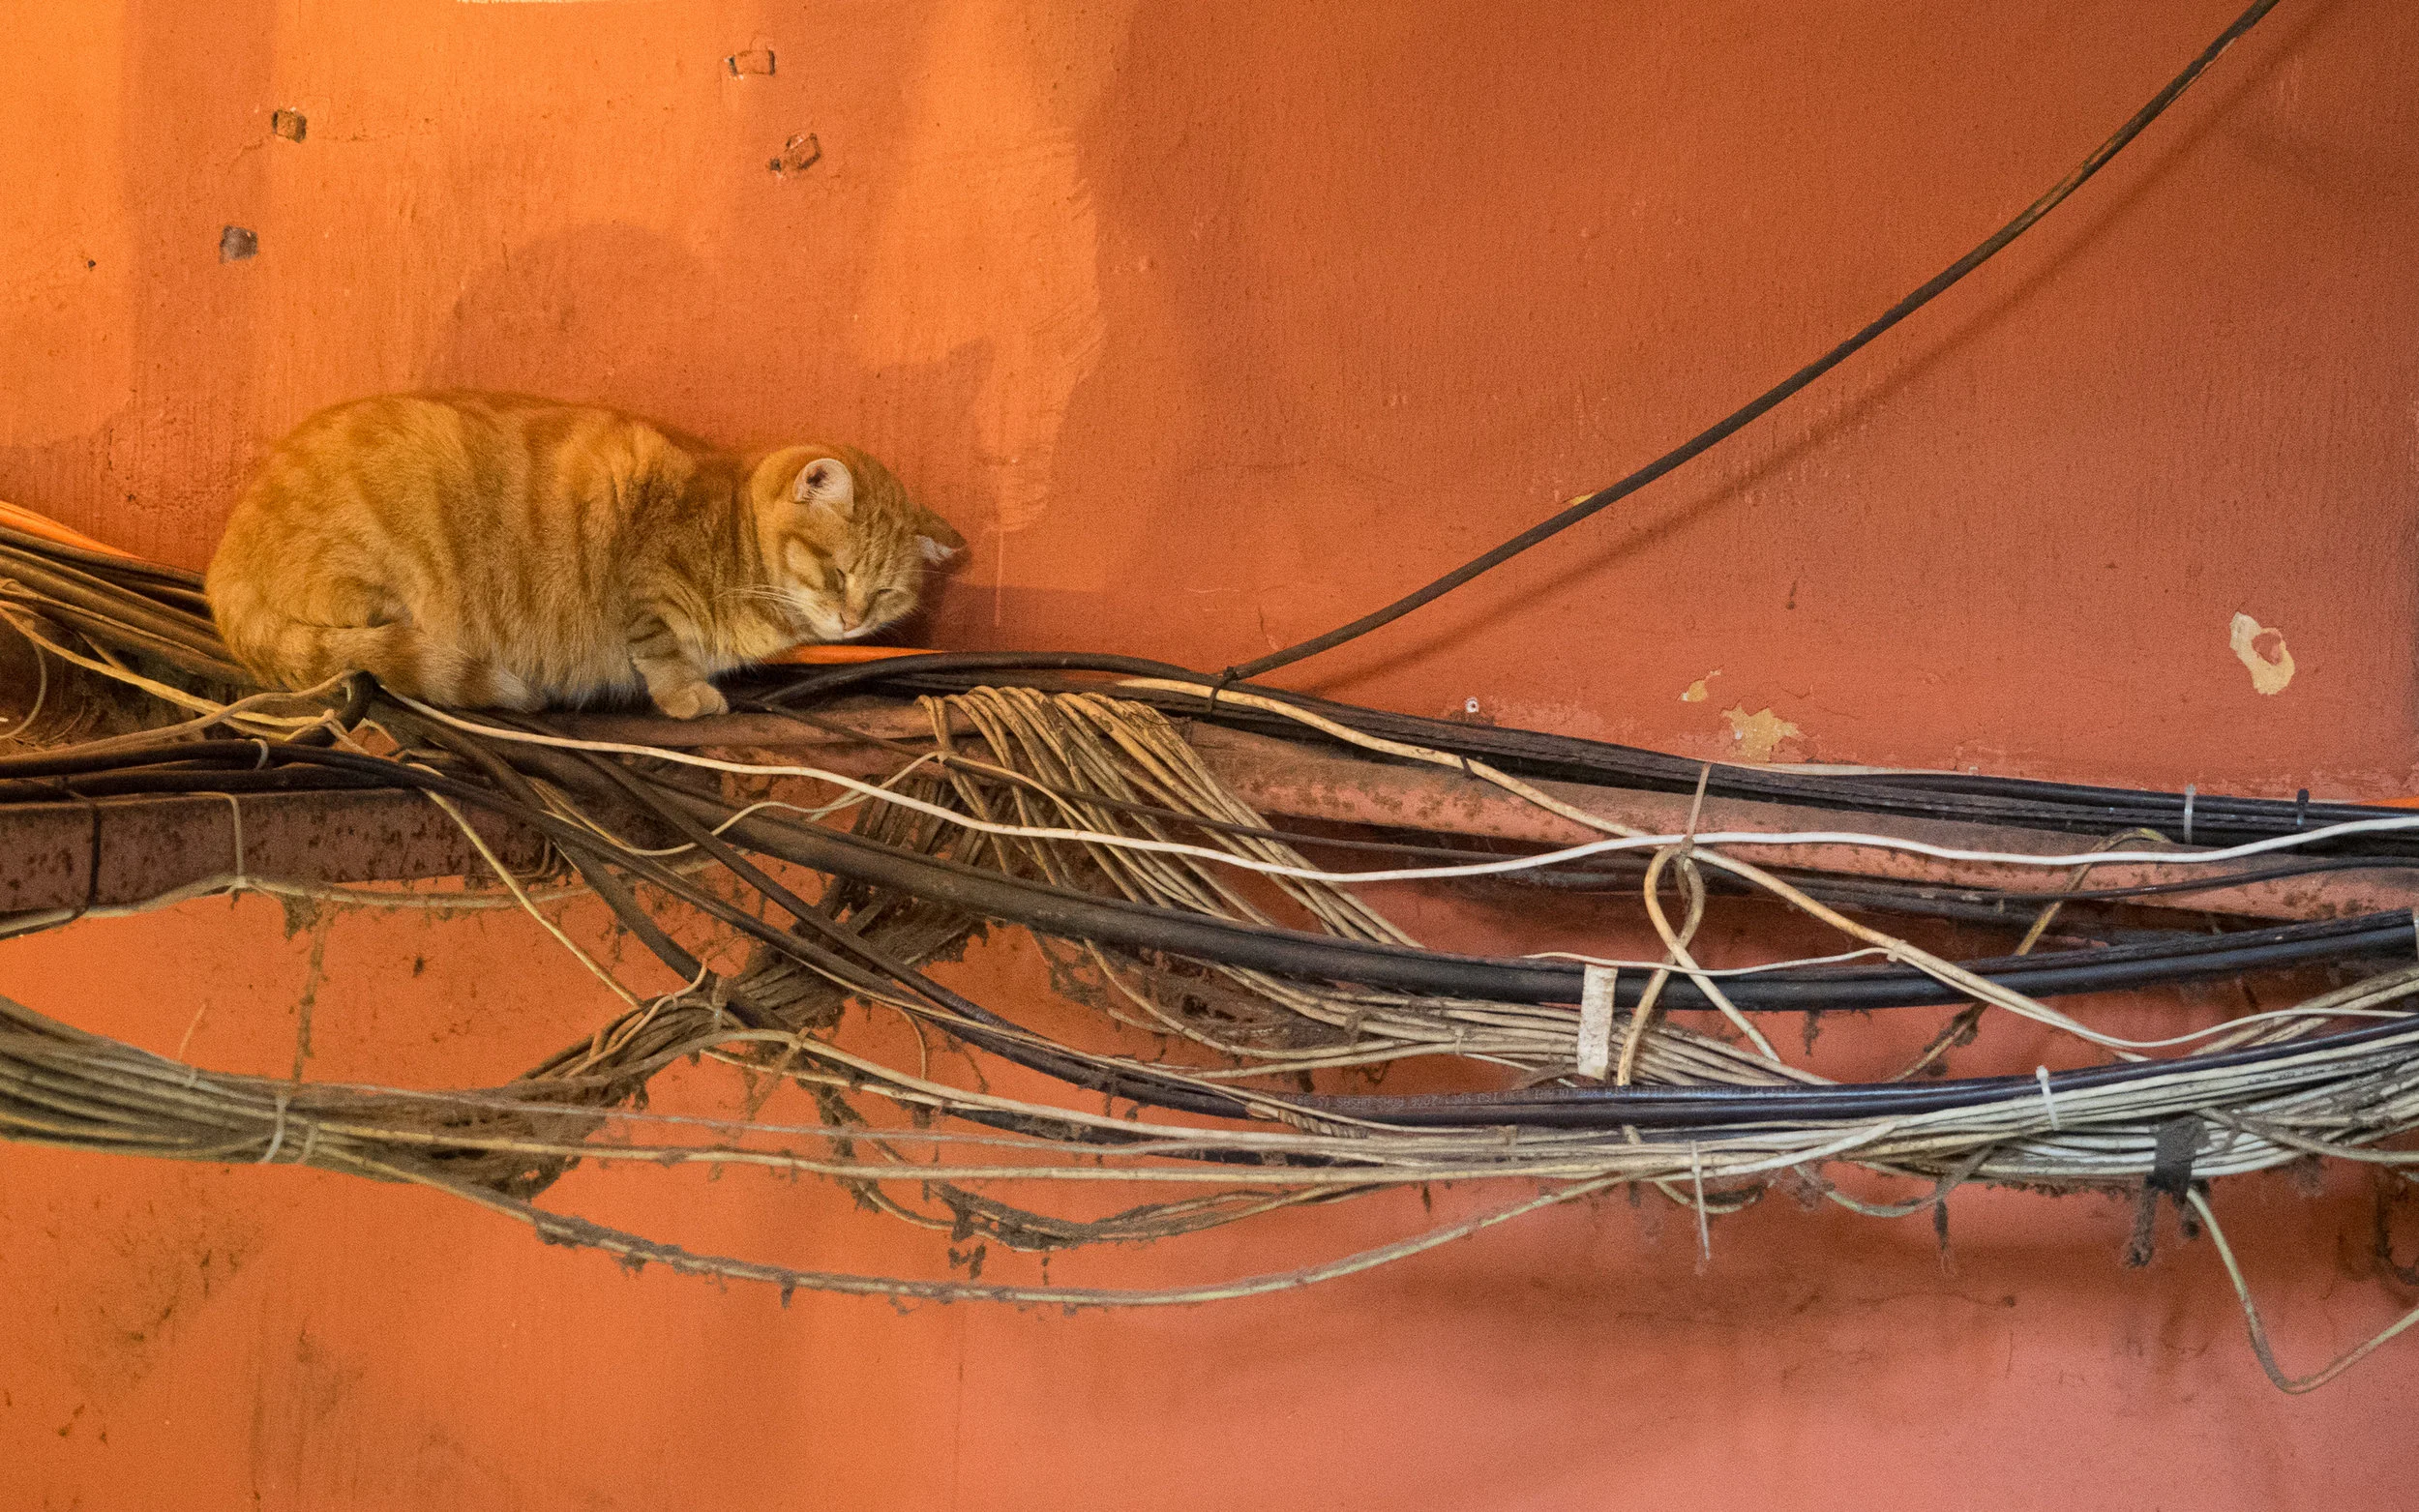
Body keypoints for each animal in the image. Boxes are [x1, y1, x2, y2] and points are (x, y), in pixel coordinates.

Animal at [205, 392, 963, 719]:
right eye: (838, 572)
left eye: (884, 595)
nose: (850, 621)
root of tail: (223, 566)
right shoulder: (646, 584)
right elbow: (662, 650)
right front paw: (687, 695)